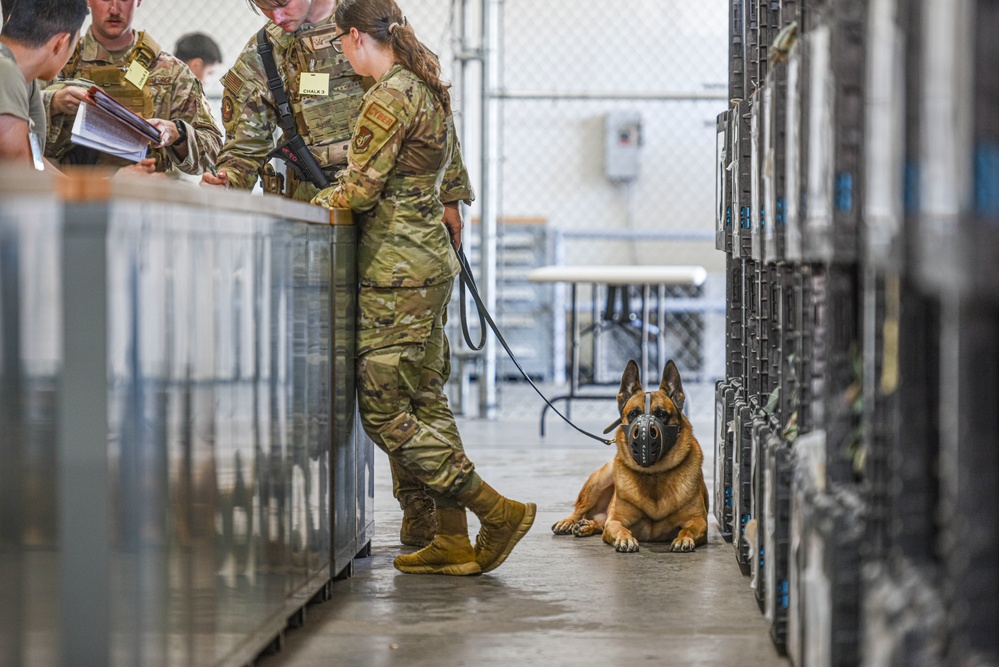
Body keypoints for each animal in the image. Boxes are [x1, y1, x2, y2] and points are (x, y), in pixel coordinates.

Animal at [556, 360, 712, 552]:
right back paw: (568, 522)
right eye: (633, 414)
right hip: (600, 479)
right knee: (580, 510)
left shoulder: (699, 521)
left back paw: (587, 525)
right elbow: (620, 529)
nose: (645, 432)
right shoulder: (615, 521)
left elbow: (688, 529)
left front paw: (684, 539)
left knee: (599, 523)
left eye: (662, 414)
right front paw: (625, 539)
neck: (654, 475)